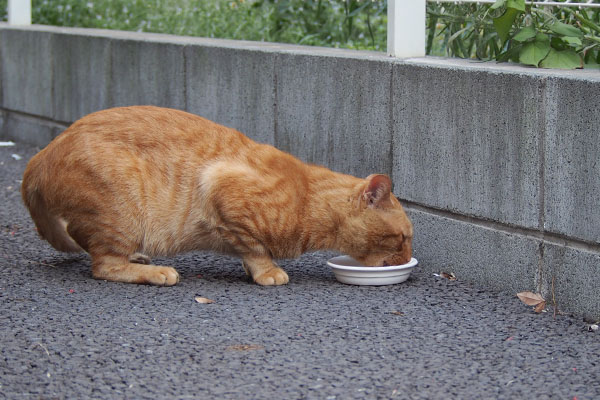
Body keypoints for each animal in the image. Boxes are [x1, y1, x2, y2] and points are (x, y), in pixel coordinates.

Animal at [19, 106, 412, 286]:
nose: (409, 257)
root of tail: (41, 155)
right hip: (122, 211)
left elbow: (247, 248)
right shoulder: (221, 186)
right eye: (404, 237)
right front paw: (267, 271)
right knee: (103, 265)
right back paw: (155, 271)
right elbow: (255, 248)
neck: (308, 199)